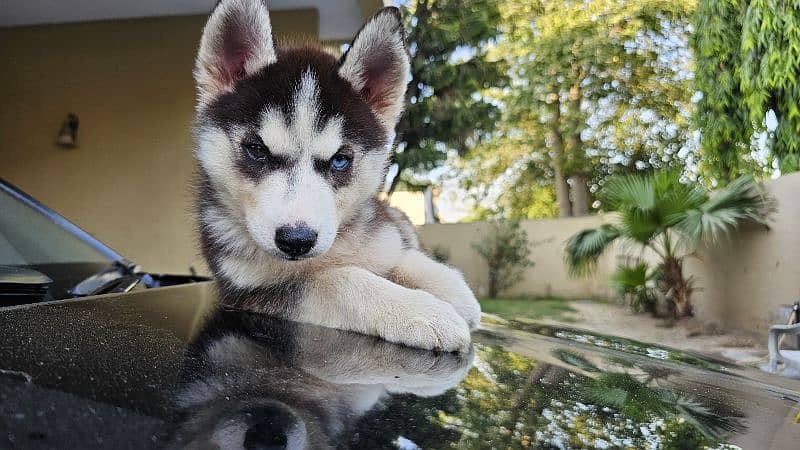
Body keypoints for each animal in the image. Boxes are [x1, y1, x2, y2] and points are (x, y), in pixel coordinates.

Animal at [196, 0, 478, 352]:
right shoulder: (250, 289)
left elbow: (399, 253)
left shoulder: (381, 233)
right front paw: (421, 309)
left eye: (341, 160)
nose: (296, 241)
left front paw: (453, 290)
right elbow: (337, 279)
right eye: (257, 149)